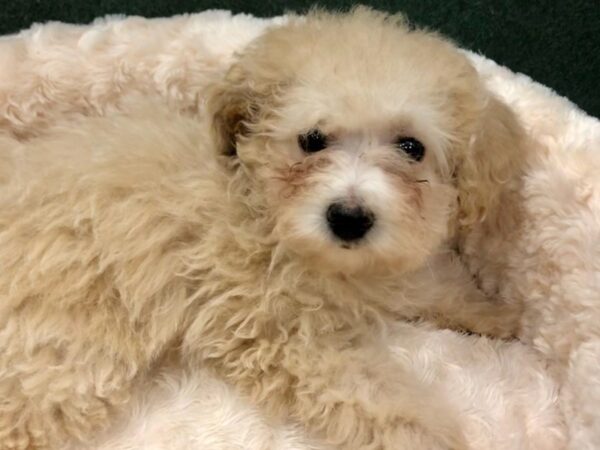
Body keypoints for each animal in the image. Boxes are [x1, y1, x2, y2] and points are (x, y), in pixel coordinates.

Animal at [0, 7, 524, 450]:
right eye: (312, 140)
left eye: (411, 147)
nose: (348, 218)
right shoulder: (280, 332)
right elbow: (371, 392)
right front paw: (434, 436)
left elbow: (430, 283)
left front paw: (497, 315)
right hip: (66, 357)